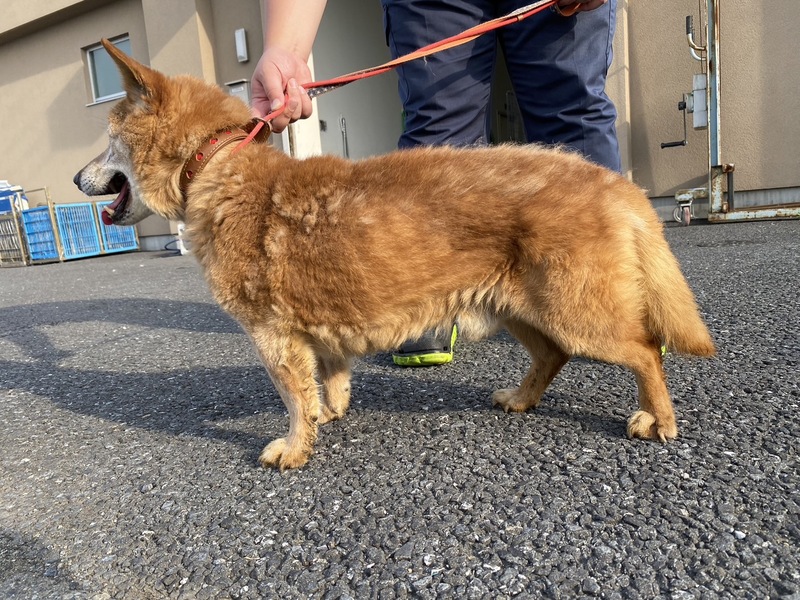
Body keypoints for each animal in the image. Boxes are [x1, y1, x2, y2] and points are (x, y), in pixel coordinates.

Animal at [75, 40, 715, 471]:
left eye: (105, 142)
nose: (77, 177)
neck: (215, 165)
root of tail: (612, 181)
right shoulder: (318, 332)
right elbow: (327, 382)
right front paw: (327, 414)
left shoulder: (272, 335)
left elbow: (292, 398)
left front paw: (296, 446)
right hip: (520, 309)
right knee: (556, 356)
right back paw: (522, 398)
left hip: (576, 312)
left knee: (645, 351)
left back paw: (660, 418)